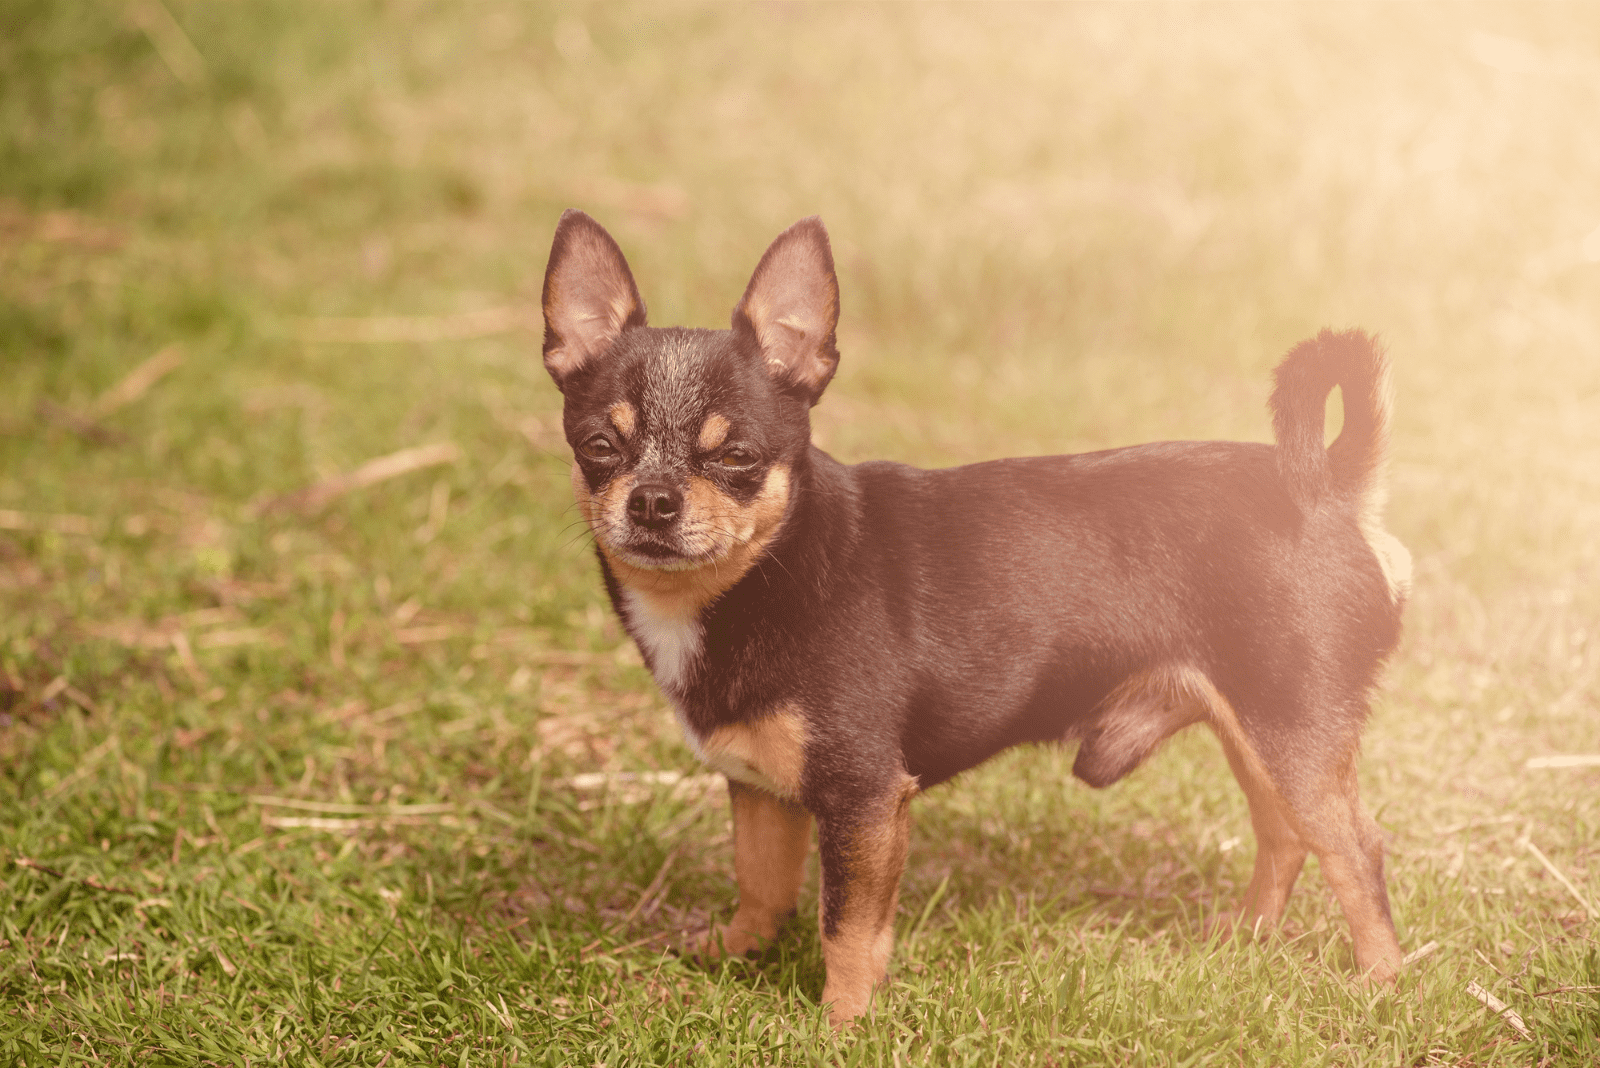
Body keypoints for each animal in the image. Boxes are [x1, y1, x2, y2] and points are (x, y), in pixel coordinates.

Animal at [540, 211, 1414, 1023]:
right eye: (598, 447)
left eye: (737, 459)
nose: (653, 501)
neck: (761, 575)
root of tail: (1331, 485)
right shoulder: (761, 790)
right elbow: (761, 883)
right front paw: (733, 956)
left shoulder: (863, 800)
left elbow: (846, 927)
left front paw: (841, 1025)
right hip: (1261, 735)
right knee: (1286, 836)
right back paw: (1245, 940)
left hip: (1292, 734)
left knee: (1356, 849)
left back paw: (1381, 983)